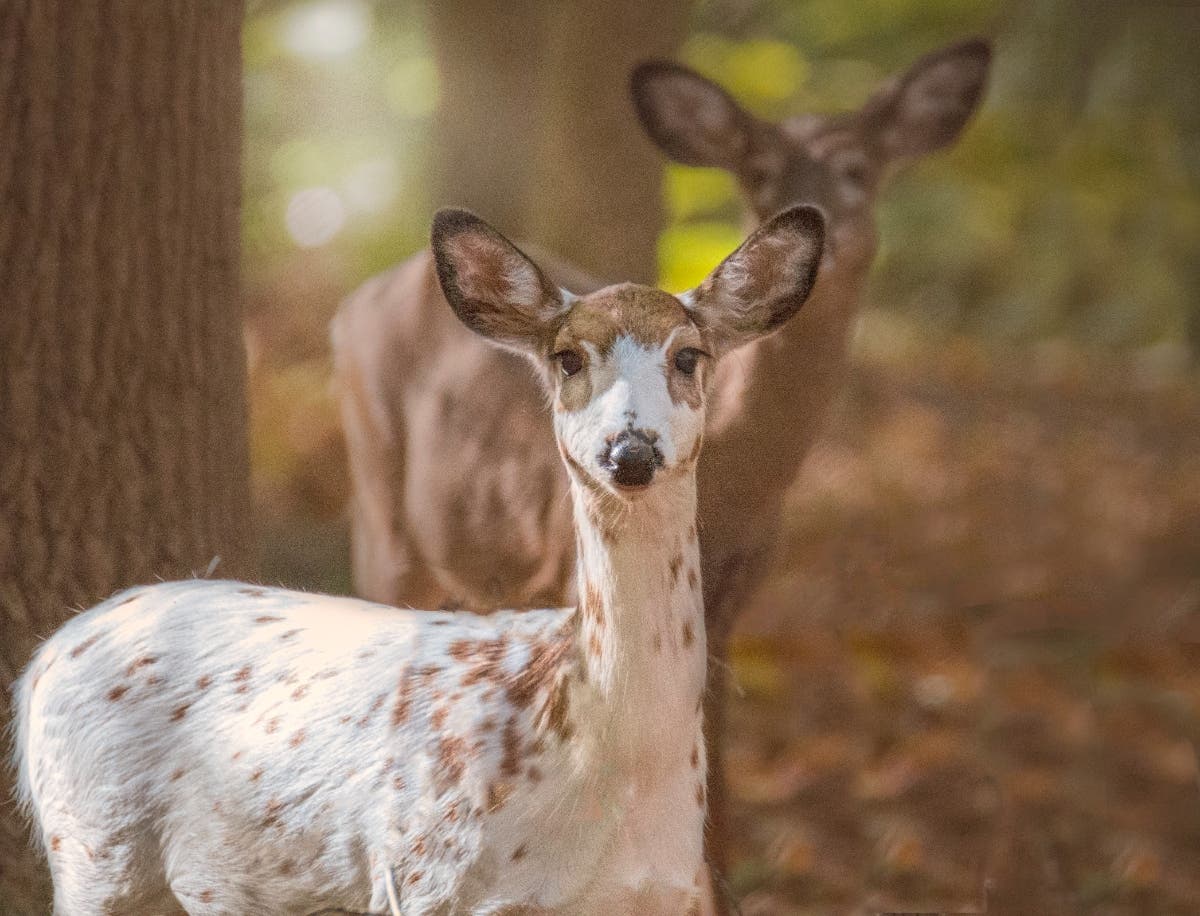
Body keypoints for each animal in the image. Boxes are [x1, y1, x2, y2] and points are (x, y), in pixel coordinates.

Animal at [15, 205, 826, 916]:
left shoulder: (666, 891)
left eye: (689, 355)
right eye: (567, 358)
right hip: (91, 843)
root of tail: (43, 661)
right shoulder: (424, 874)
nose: (630, 451)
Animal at [331, 39, 992, 892]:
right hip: (380, 501)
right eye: (758, 173)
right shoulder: (564, 567)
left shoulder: (735, 600)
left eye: (857, 167)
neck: (737, 493)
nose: (833, 230)